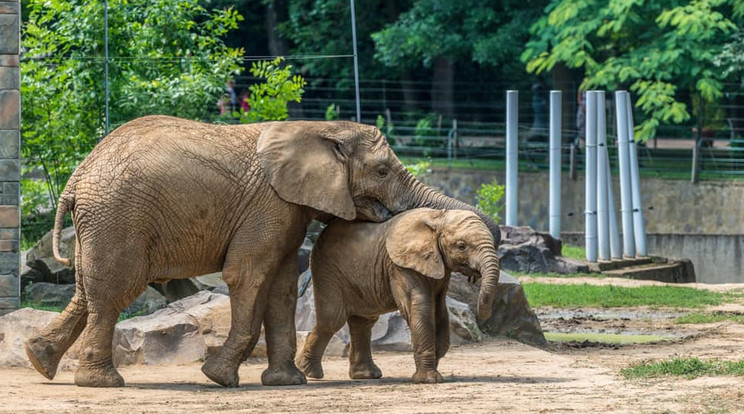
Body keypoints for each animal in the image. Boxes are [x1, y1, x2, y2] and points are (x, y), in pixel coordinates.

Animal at [296, 209, 500, 384]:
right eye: (461, 246)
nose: (474, 278)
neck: (436, 217)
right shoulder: (400, 265)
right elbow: (419, 307)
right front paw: (429, 380)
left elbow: (439, 309)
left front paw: (433, 366)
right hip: (326, 268)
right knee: (332, 319)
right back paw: (308, 372)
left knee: (363, 321)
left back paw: (366, 375)